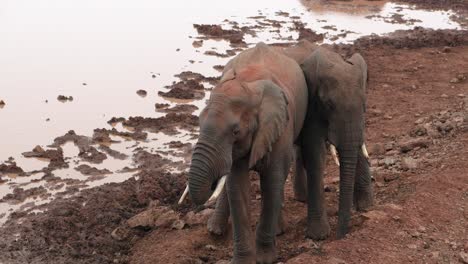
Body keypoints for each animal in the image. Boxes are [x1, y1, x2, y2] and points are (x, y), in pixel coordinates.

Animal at [185, 42, 308, 262]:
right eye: (198, 122)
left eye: (236, 131)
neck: (249, 84)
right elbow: (237, 187)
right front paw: (244, 261)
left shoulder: (280, 128)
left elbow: (272, 181)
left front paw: (266, 258)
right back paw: (214, 230)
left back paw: (278, 230)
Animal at [298, 46, 374, 239]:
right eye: (328, 105)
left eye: (364, 105)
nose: (340, 237)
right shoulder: (311, 106)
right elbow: (315, 152)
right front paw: (319, 236)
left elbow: (357, 144)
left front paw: (366, 207)